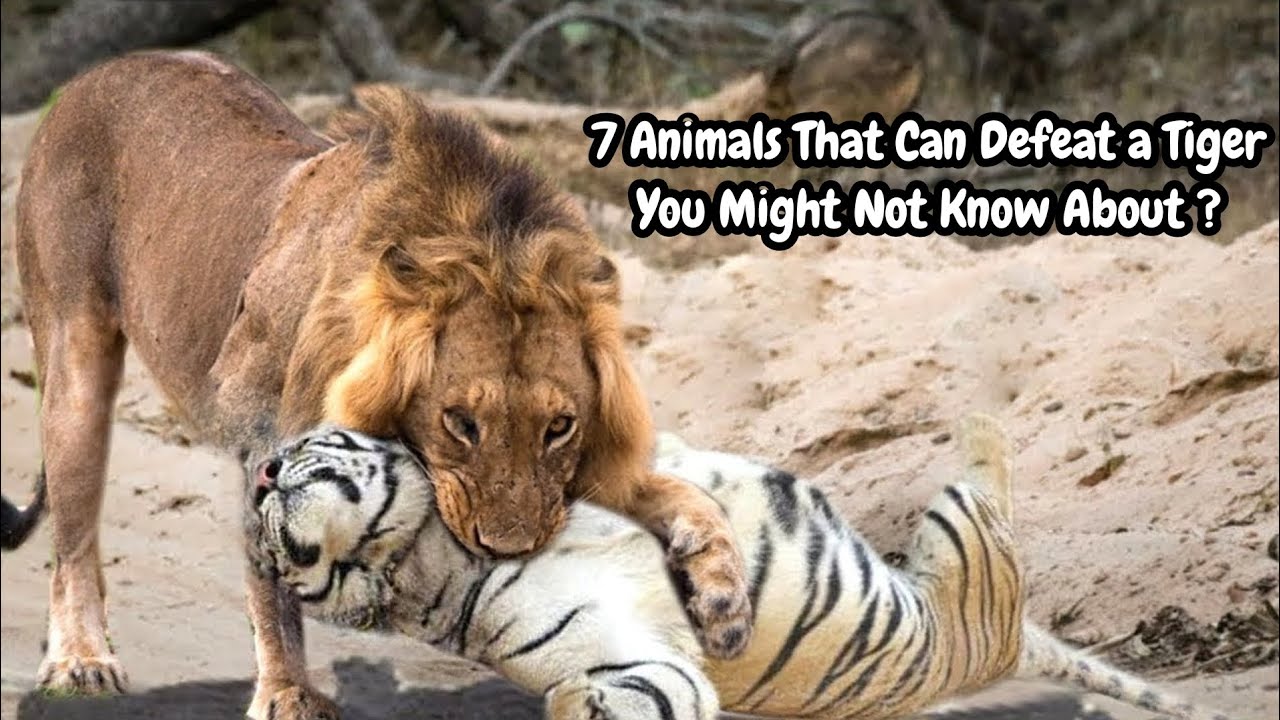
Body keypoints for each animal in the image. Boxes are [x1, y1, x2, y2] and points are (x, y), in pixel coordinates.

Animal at [244, 415, 1228, 720]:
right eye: (272, 543)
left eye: (302, 444)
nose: (259, 473)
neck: (419, 546)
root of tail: (1009, 646)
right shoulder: (637, 659)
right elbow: (611, 692)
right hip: (960, 522)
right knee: (991, 466)